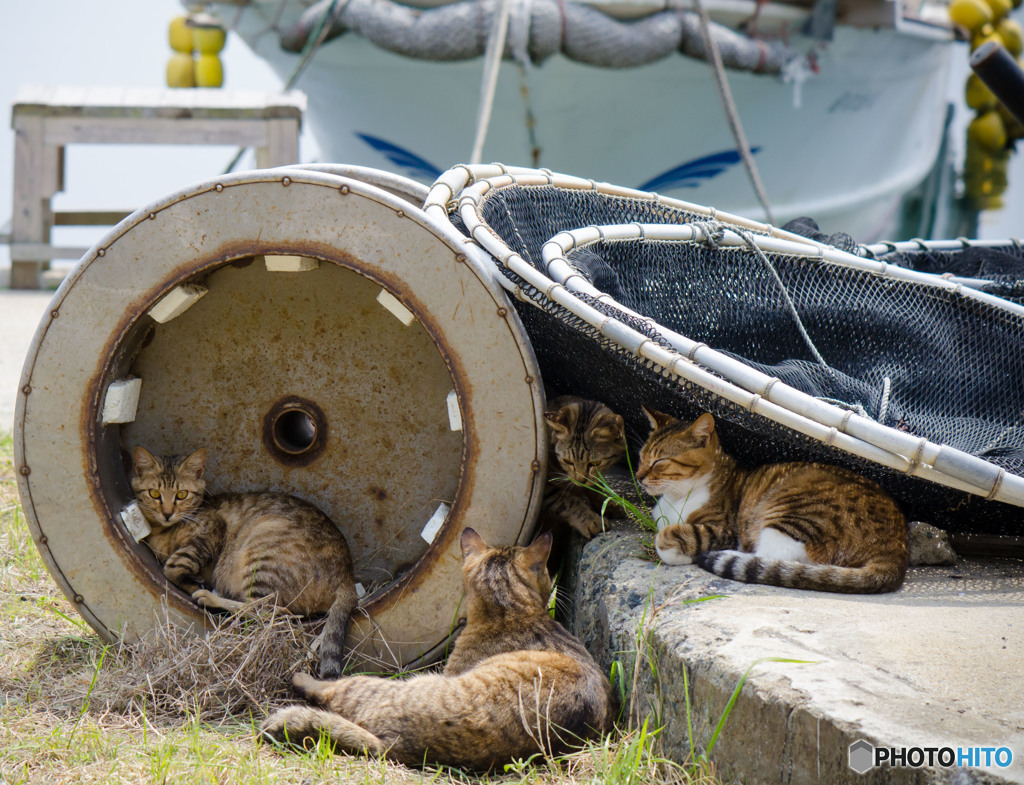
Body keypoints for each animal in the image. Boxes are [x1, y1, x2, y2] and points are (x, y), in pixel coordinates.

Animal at [132, 448, 358, 679]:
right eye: (154, 494)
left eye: (182, 494)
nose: (167, 513)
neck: (164, 529)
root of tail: (347, 575)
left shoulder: (211, 531)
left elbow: (173, 567)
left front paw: (194, 583)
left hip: (262, 548)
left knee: (272, 615)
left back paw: (210, 597)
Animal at [544, 397, 622, 536]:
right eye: (567, 461)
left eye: (595, 464)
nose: (580, 480)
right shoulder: (546, 488)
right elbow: (568, 501)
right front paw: (590, 520)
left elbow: (595, 487)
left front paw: (609, 503)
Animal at [634, 411, 909, 597]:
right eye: (641, 457)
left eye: (659, 462)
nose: (638, 476)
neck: (677, 497)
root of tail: (897, 548)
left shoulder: (724, 529)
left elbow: (667, 537)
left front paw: (672, 550)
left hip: (793, 516)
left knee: (774, 559)